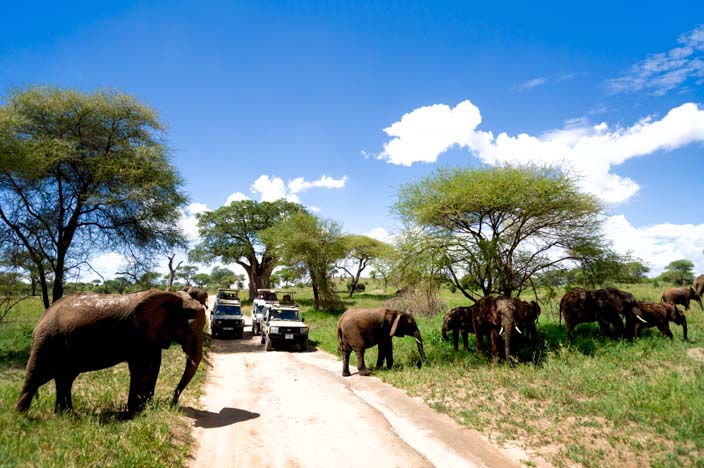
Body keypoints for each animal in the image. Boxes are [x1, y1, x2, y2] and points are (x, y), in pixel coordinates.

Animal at [15, 288, 206, 414]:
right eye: (187, 327)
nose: (173, 402)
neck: (172, 296)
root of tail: (40, 320)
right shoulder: (138, 334)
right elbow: (141, 369)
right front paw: (135, 414)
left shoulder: (152, 335)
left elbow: (154, 367)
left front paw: (145, 410)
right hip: (47, 342)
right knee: (35, 377)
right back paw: (22, 419)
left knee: (64, 379)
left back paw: (66, 416)